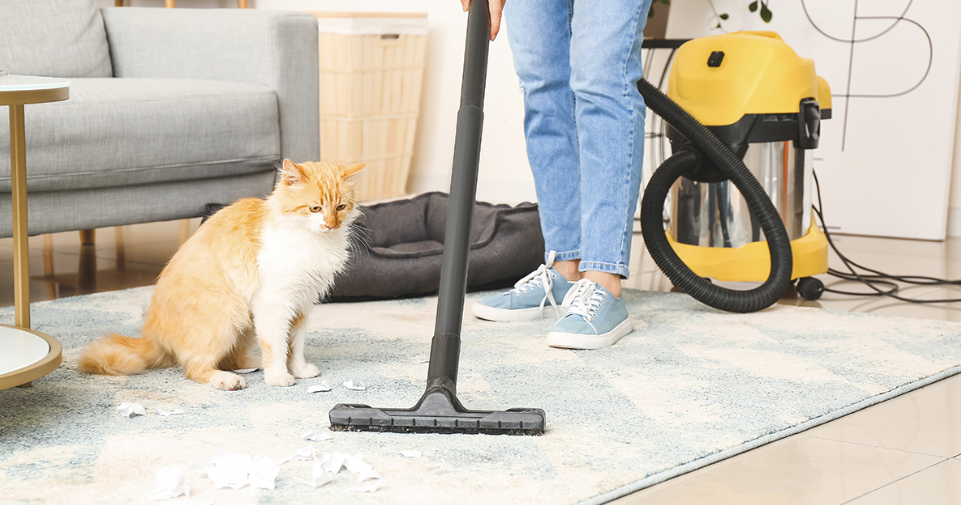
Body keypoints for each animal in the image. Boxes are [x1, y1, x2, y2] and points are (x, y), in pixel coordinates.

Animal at [78, 158, 364, 390]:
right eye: (315, 209)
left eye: (340, 207)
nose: (331, 224)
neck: (313, 241)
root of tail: (152, 336)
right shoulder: (275, 303)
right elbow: (276, 344)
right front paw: (279, 376)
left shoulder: (302, 304)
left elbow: (295, 345)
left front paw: (298, 370)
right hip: (224, 318)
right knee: (195, 368)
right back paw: (229, 380)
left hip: (244, 325)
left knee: (230, 359)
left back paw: (253, 363)